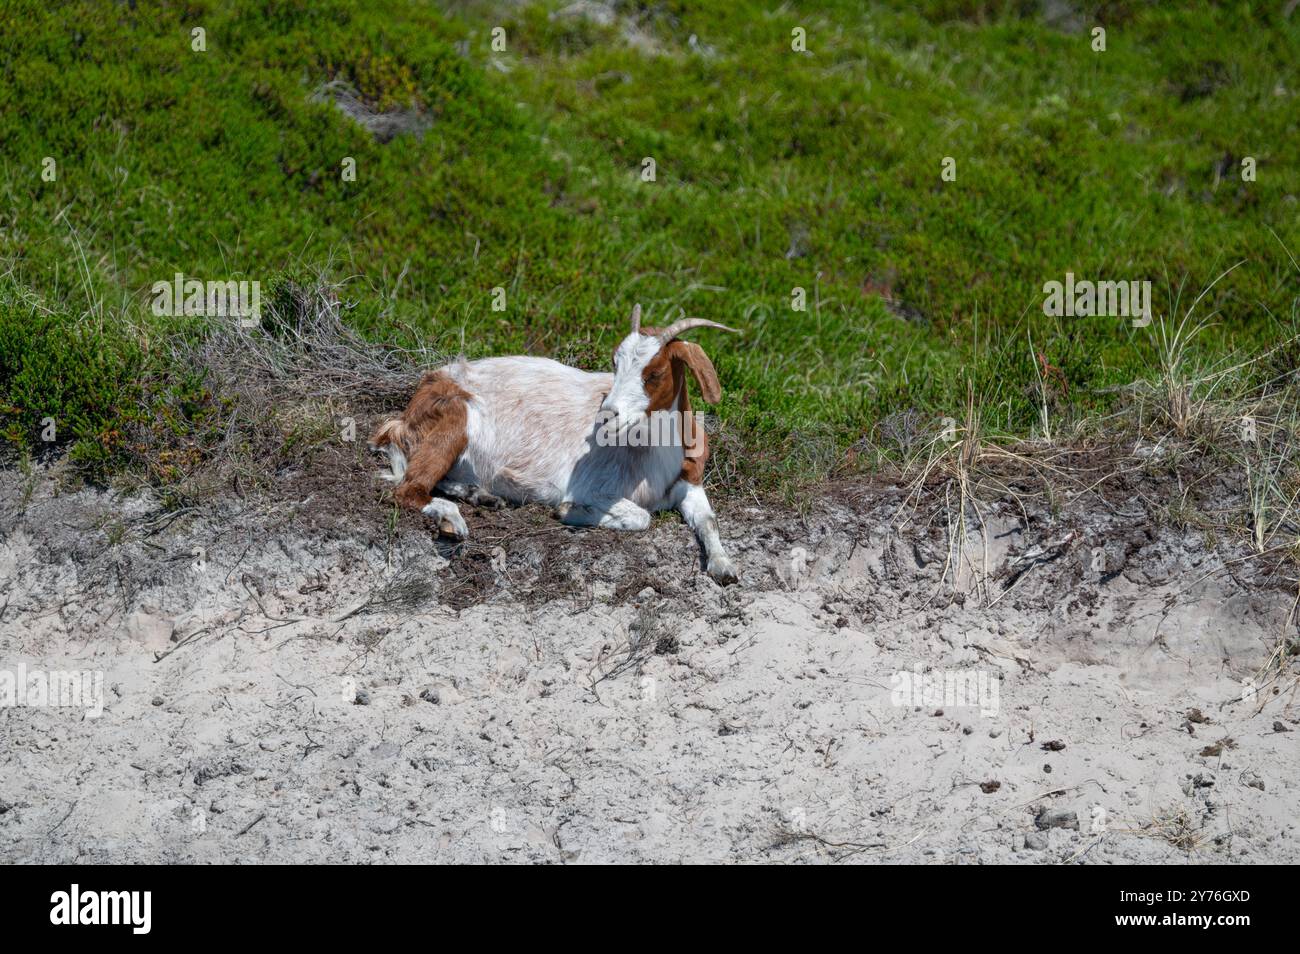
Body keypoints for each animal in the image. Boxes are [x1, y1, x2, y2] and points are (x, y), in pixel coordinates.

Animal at [374, 310, 743, 587]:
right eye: (615, 363)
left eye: (654, 373)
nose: (606, 413)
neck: (653, 452)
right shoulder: (593, 486)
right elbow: (641, 517)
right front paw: (570, 512)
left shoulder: (690, 482)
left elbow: (708, 519)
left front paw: (724, 566)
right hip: (455, 420)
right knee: (408, 489)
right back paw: (452, 519)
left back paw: (481, 495)